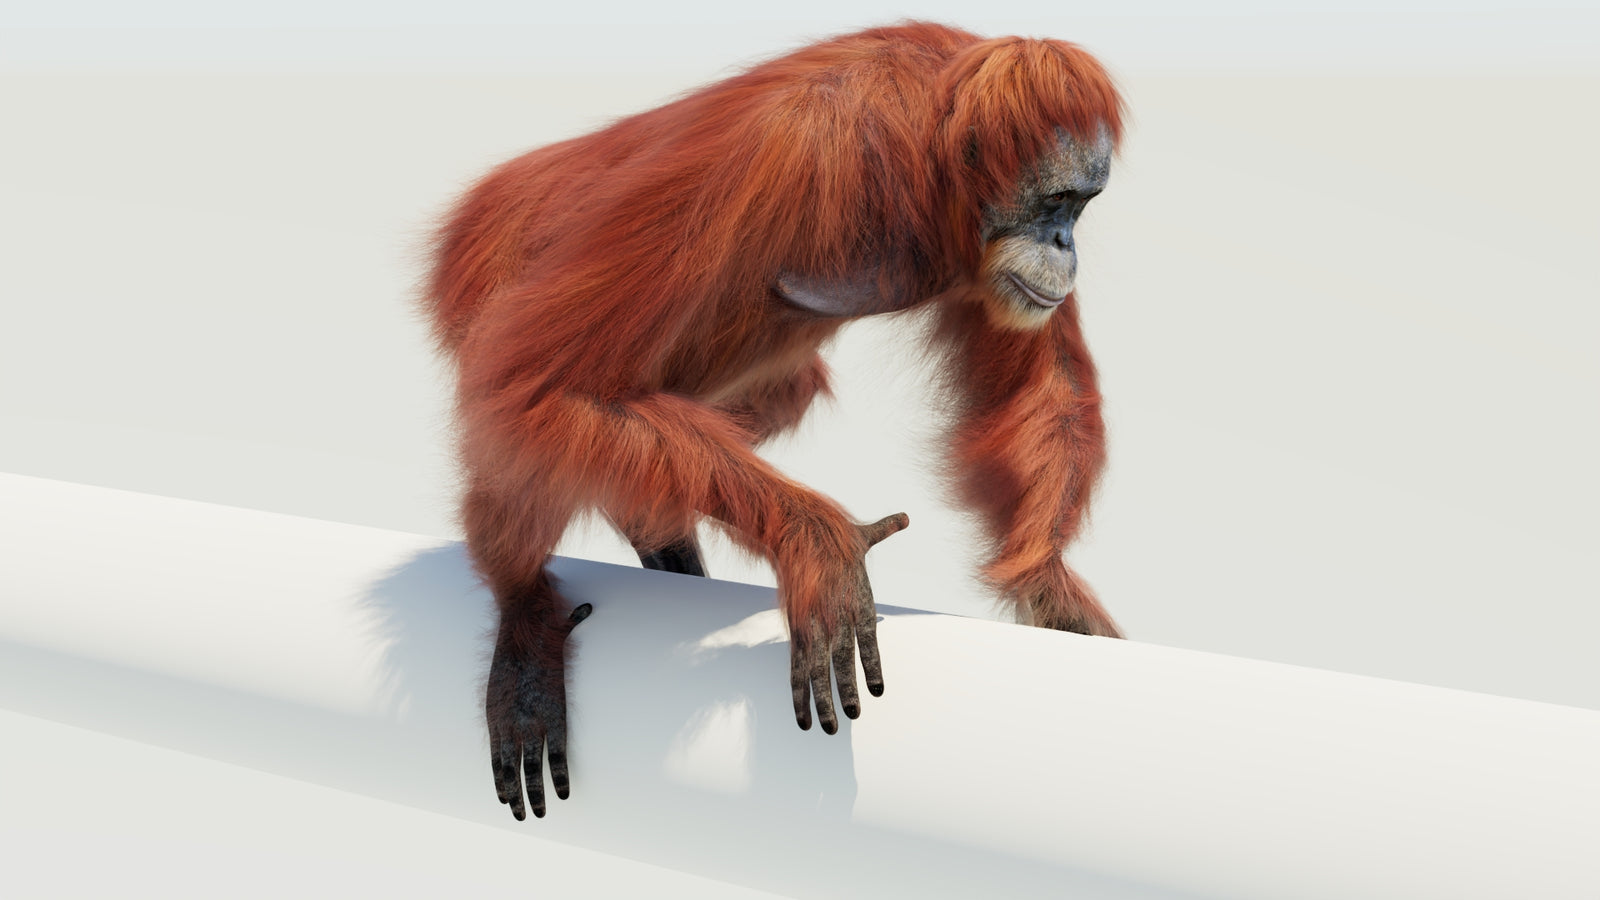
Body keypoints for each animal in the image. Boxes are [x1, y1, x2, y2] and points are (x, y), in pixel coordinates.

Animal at [423, 21, 1124, 820]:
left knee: (778, 390)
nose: (1065, 245)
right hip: (483, 270)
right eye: (1055, 202)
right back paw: (522, 608)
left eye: (1081, 206)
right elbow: (538, 379)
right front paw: (817, 543)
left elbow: (1043, 379)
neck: (928, 147)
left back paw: (651, 531)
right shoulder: (785, 150)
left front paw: (1049, 586)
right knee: (522, 407)